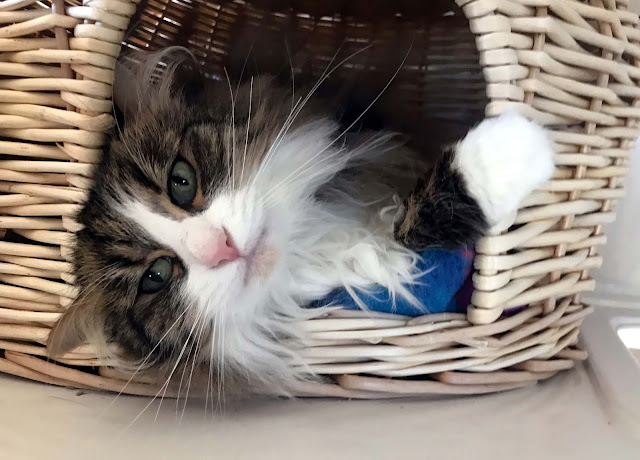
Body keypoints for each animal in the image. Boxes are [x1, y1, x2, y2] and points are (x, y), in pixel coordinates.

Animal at [47, 48, 555, 397]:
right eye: (156, 276)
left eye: (181, 182)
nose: (220, 247)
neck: (311, 237)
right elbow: (411, 231)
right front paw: (512, 150)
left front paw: (511, 147)